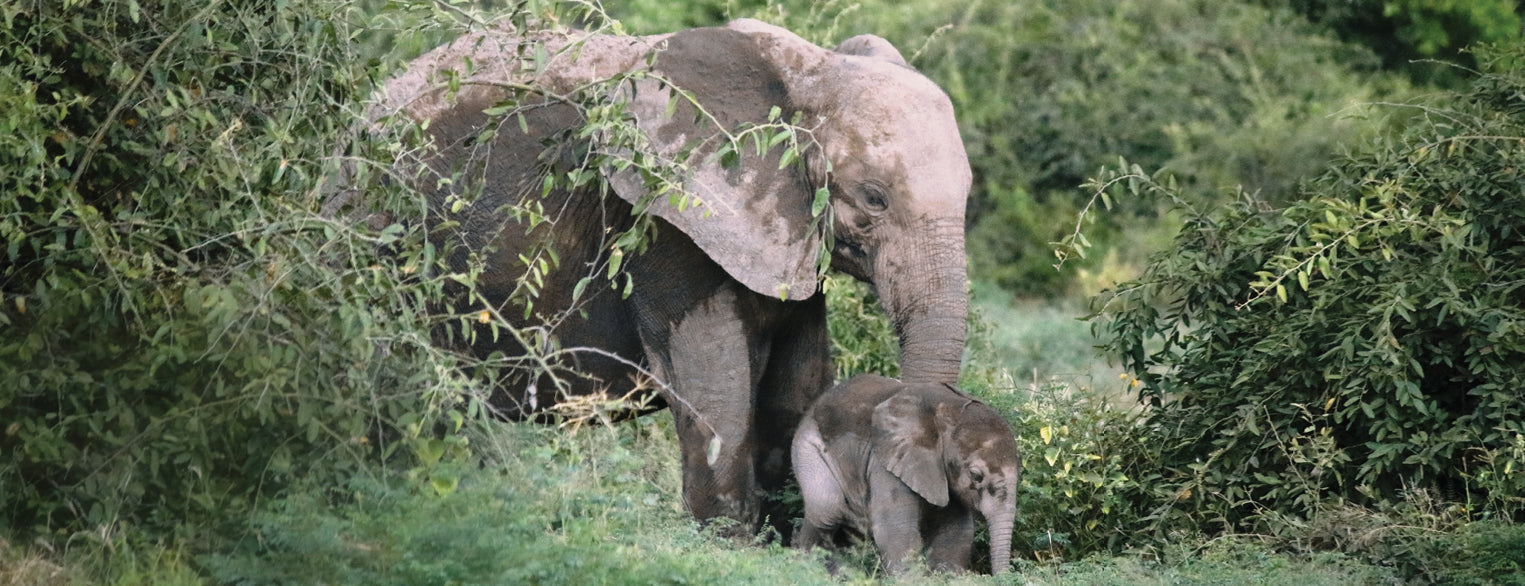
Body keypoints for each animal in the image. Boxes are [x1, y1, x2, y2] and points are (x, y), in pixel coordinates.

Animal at [341, 19, 972, 536]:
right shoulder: (664, 219)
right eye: (874, 198)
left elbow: (798, 384)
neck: (807, 73)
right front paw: (730, 544)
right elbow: (715, 386)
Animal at [792, 374, 1021, 575]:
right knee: (826, 508)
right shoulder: (887, 460)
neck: (949, 412)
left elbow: (956, 532)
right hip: (807, 443)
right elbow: (896, 530)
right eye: (976, 475)